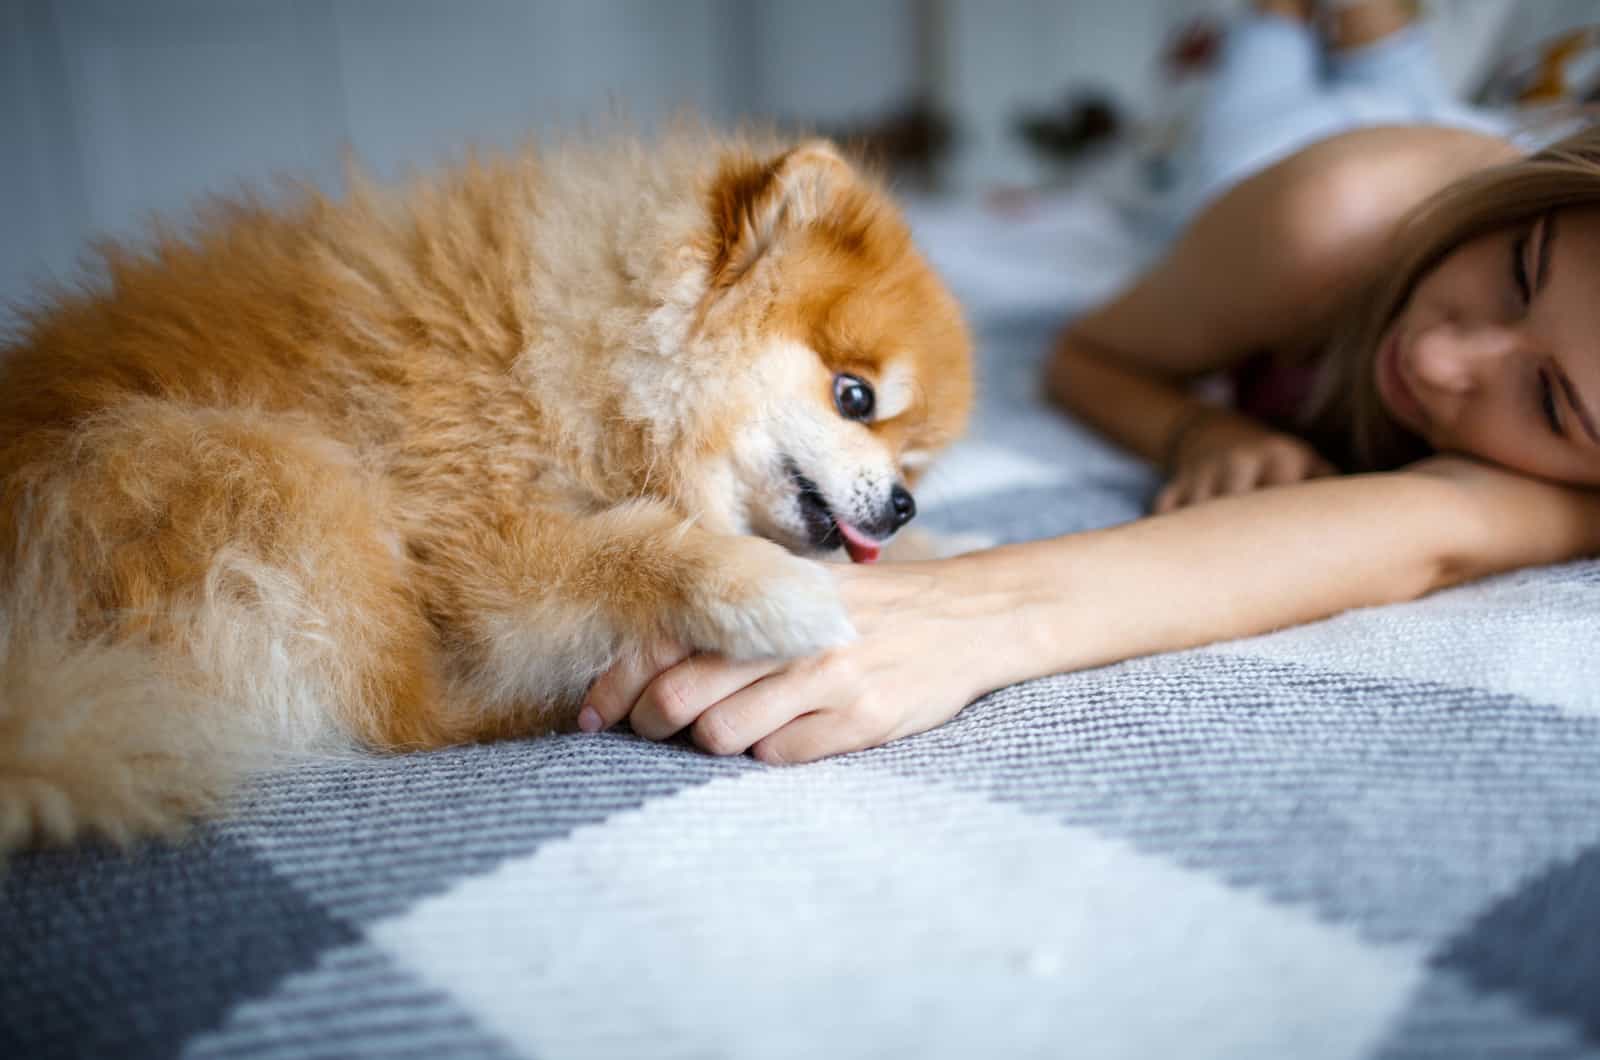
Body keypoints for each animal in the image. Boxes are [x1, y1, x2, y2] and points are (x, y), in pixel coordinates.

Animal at [0, 128, 972, 851]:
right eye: (855, 397)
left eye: (916, 463)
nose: (904, 506)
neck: (560, 353)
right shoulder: (479, 539)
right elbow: (627, 547)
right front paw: (769, 591)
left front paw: (947, 547)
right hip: (267, 468)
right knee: (409, 716)